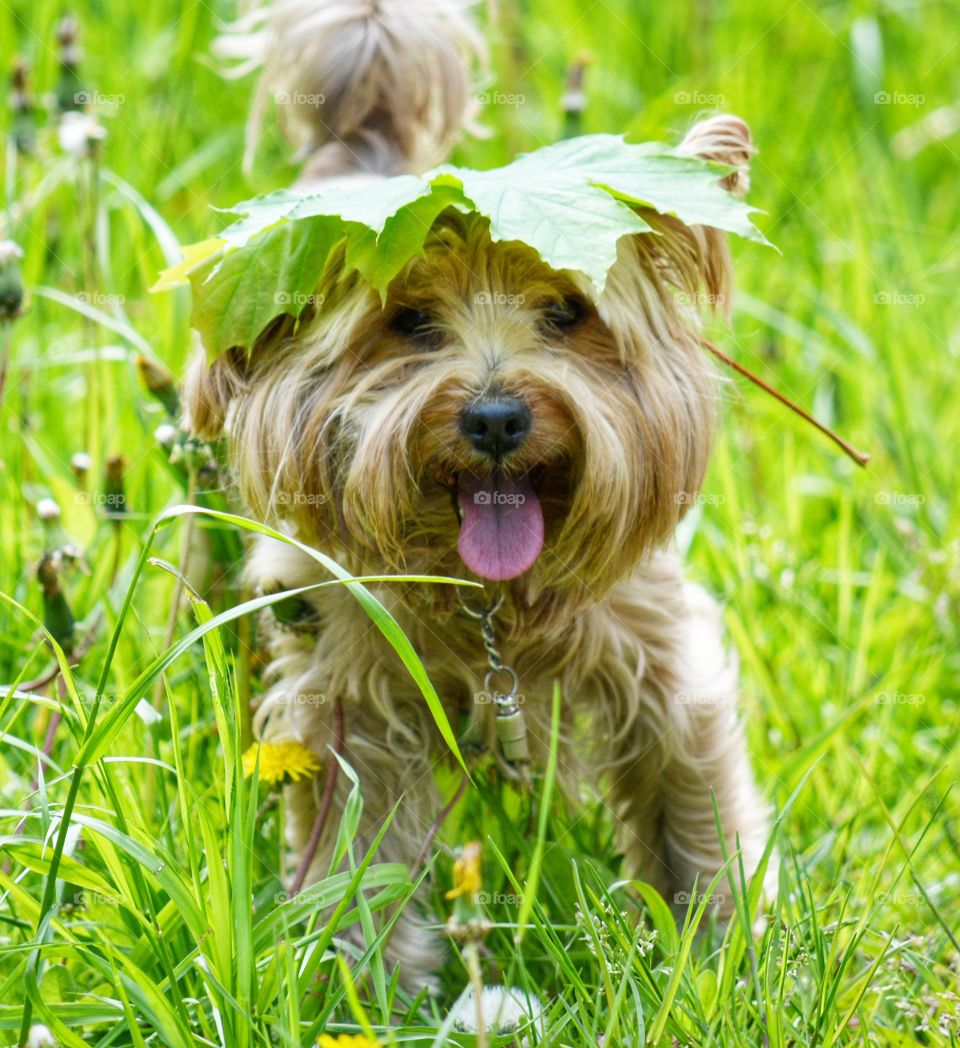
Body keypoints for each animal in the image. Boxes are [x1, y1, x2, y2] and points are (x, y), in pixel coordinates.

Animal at [183, 0, 775, 980]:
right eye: (412, 322)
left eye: (568, 311)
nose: (496, 418)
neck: (493, 606)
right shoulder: (355, 700)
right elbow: (360, 849)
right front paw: (367, 980)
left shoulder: (662, 662)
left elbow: (692, 802)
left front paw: (720, 951)